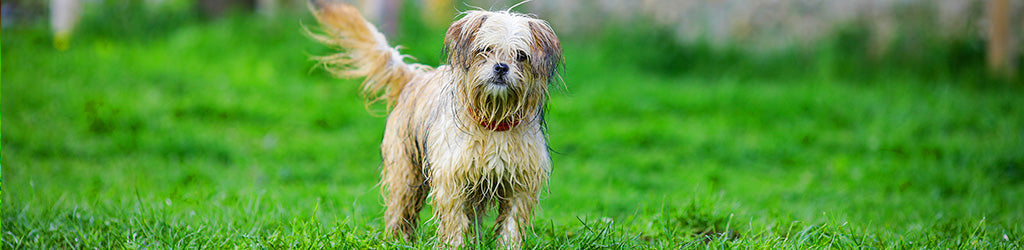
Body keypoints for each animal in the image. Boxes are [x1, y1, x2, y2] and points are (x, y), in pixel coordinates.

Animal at [305, 1, 561, 247]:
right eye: (485, 50)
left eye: (521, 56)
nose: (501, 67)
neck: (493, 120)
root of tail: (414, 77)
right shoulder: (453, 180)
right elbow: (455, 221)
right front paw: (455, 245)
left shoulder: (521, 185)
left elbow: (511, 224)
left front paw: (507, 245)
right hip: (406, 174)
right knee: (399, 210)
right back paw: (397, 239)